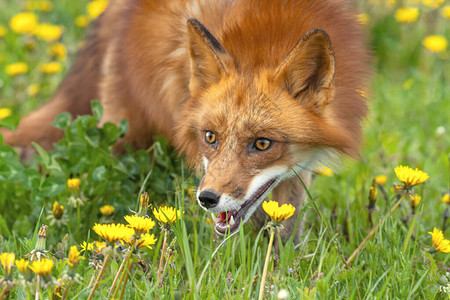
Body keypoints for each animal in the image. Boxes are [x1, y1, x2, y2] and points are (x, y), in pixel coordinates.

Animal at [0, 0, 370, 239]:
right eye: (210, 137)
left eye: (262, 144)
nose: (207, 198)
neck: (266, 35)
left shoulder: (294, 173)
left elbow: (284, 229)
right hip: (124, 137)